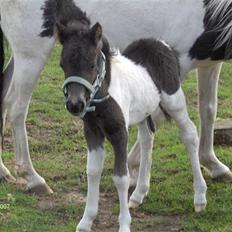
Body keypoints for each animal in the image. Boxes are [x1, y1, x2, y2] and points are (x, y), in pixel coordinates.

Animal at [58, 20, 207, 231]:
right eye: (62, 65)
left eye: (92, 64)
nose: (75, 104)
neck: (105, 93)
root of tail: (163, 45)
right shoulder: (92, 132)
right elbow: (93, 171)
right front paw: (86, 222)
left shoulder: (119, 132)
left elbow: (121, 177)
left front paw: (124, 225)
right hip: (144, 112)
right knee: (147, 138)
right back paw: (138, 194)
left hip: (174, 102)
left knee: (190, 134)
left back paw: (200, 197)